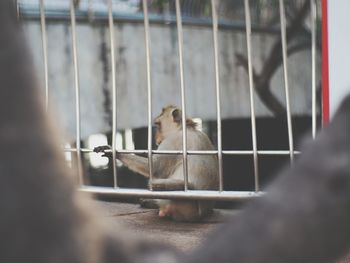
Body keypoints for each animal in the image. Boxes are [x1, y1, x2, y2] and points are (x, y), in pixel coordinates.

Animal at [4, 0, 350, 262]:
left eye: (157, 127)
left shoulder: (173, 141)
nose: (155, 137)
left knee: (164, 184)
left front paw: (119, 154)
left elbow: (158, 169)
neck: (186, 127)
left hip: (183, 204)